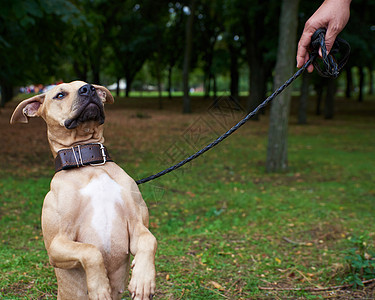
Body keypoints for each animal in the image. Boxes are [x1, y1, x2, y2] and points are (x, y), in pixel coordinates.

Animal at [10, 81, 157, 298]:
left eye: (90, 86)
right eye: (60, 94)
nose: (88, 89)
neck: (89, 164)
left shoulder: (137, 223)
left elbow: (149, 240)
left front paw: (143, 280)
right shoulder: (57, 245)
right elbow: (91, 251)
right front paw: (100, 288)